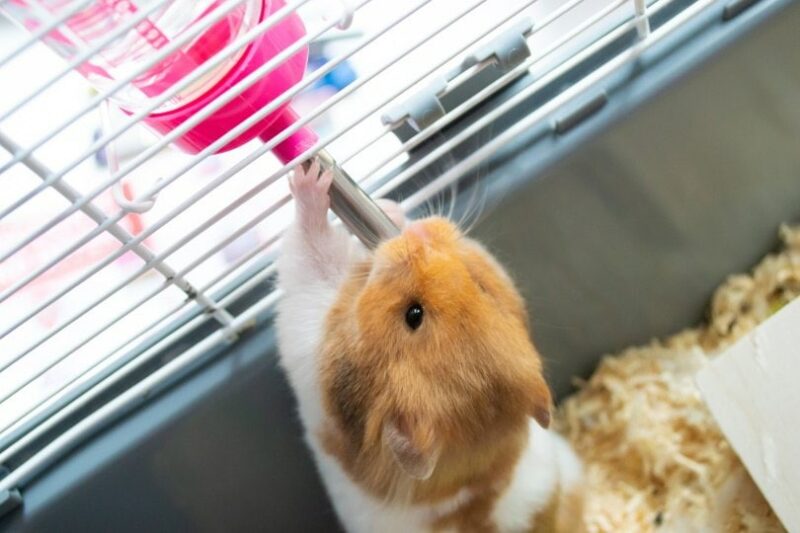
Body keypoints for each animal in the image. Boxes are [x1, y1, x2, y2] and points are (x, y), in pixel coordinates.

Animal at [275, 161, 584, 533]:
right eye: (481, 285)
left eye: (414, 314)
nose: (420, 234)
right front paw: (389, 209)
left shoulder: (312, 337)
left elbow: (311, 253)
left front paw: (312, 179)